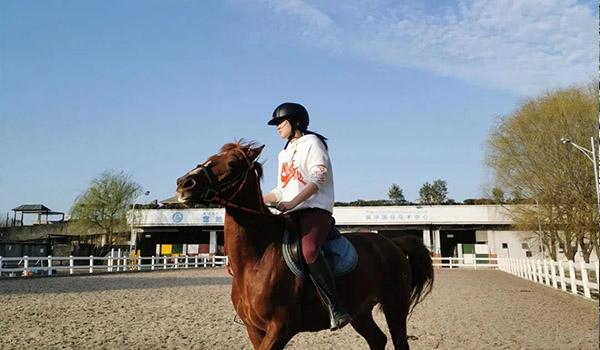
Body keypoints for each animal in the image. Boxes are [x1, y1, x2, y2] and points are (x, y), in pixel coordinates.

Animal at [176, 141, 434, 348]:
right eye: (211, 157)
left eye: (232, 163)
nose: (183, 183)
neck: (255, 260)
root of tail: (392, 244)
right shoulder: (255, 330)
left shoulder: (280, 328)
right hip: (360, 311)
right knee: (377, 340)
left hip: (394, 306)